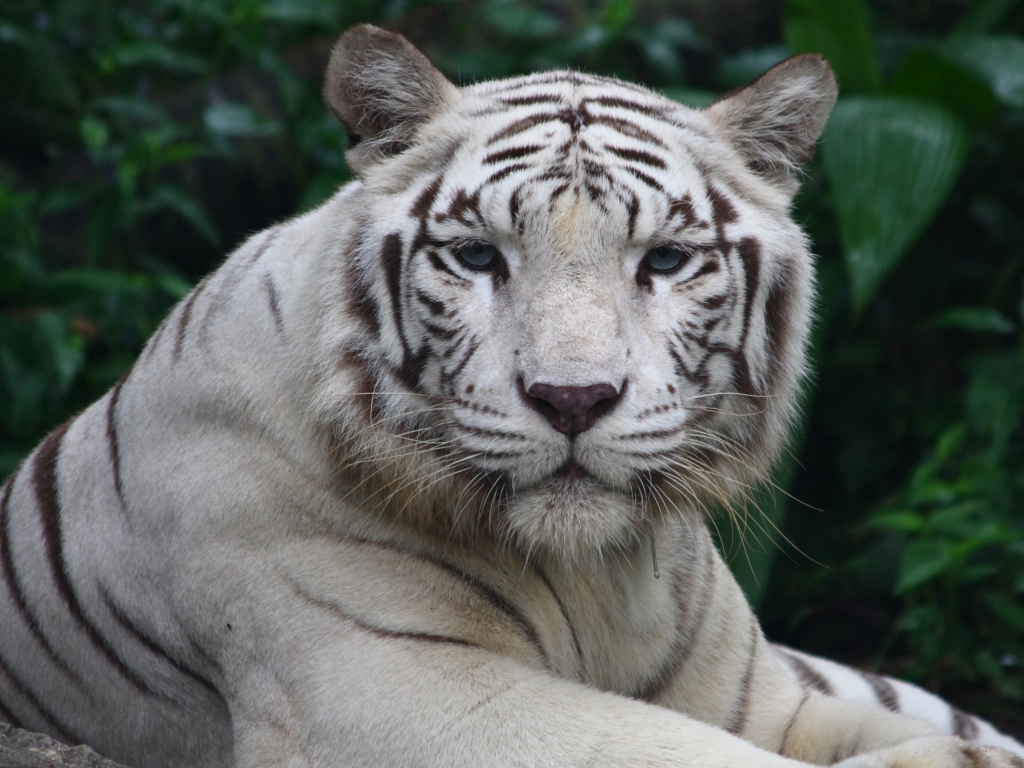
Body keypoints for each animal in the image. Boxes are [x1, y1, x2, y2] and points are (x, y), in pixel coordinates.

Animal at [1, 23, 1022, 768]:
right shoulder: (392, 692)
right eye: (478, 255)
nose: (572, 399)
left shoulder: (763, 699)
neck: (602, 576)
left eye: (665, 261)